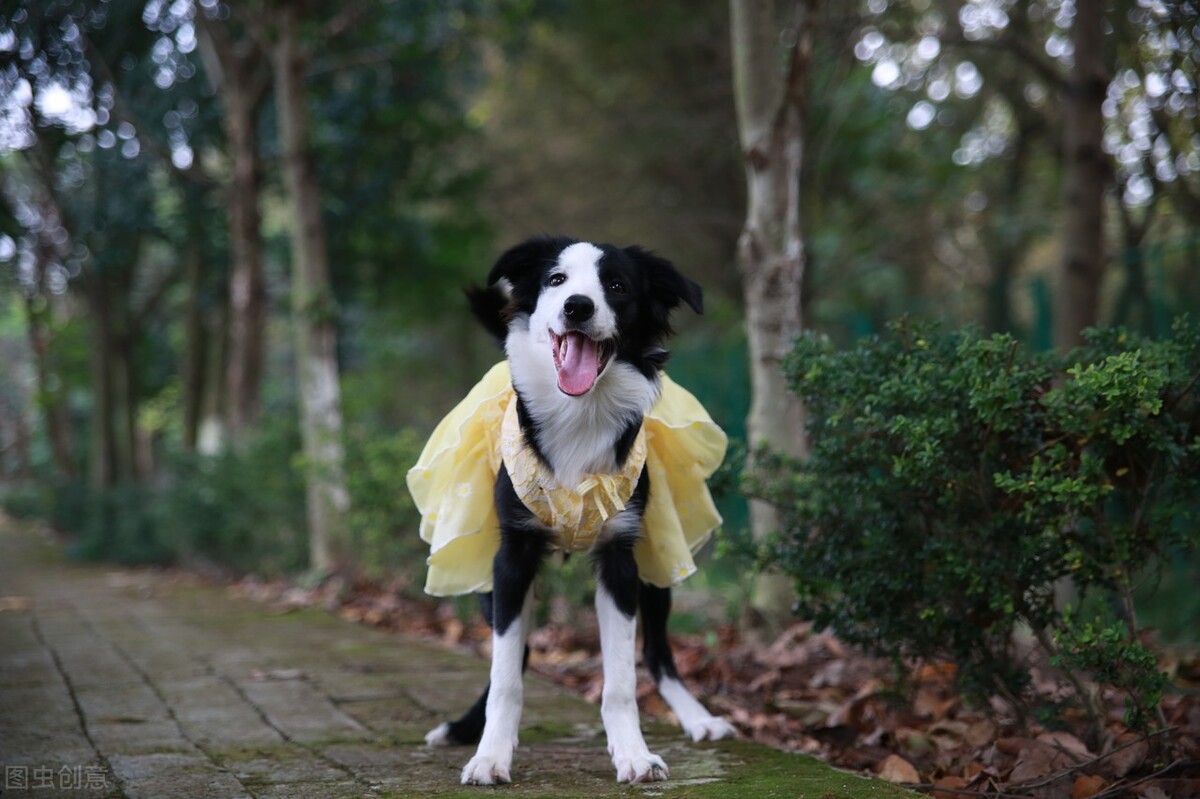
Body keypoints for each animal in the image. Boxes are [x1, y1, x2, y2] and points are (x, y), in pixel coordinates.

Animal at [427, 236, 734, 782]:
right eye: (556, 280)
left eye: (617, 285)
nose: (578, 306)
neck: (579, 415)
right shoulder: (511, 557)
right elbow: (505, 671)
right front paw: (489, 755)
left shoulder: (621, 557)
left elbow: (621, 681)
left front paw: (633, 754)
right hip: (488, 578)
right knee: (518, 649)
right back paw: (466, 728)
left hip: (656, 565)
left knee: (656, 651)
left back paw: (698, 719)